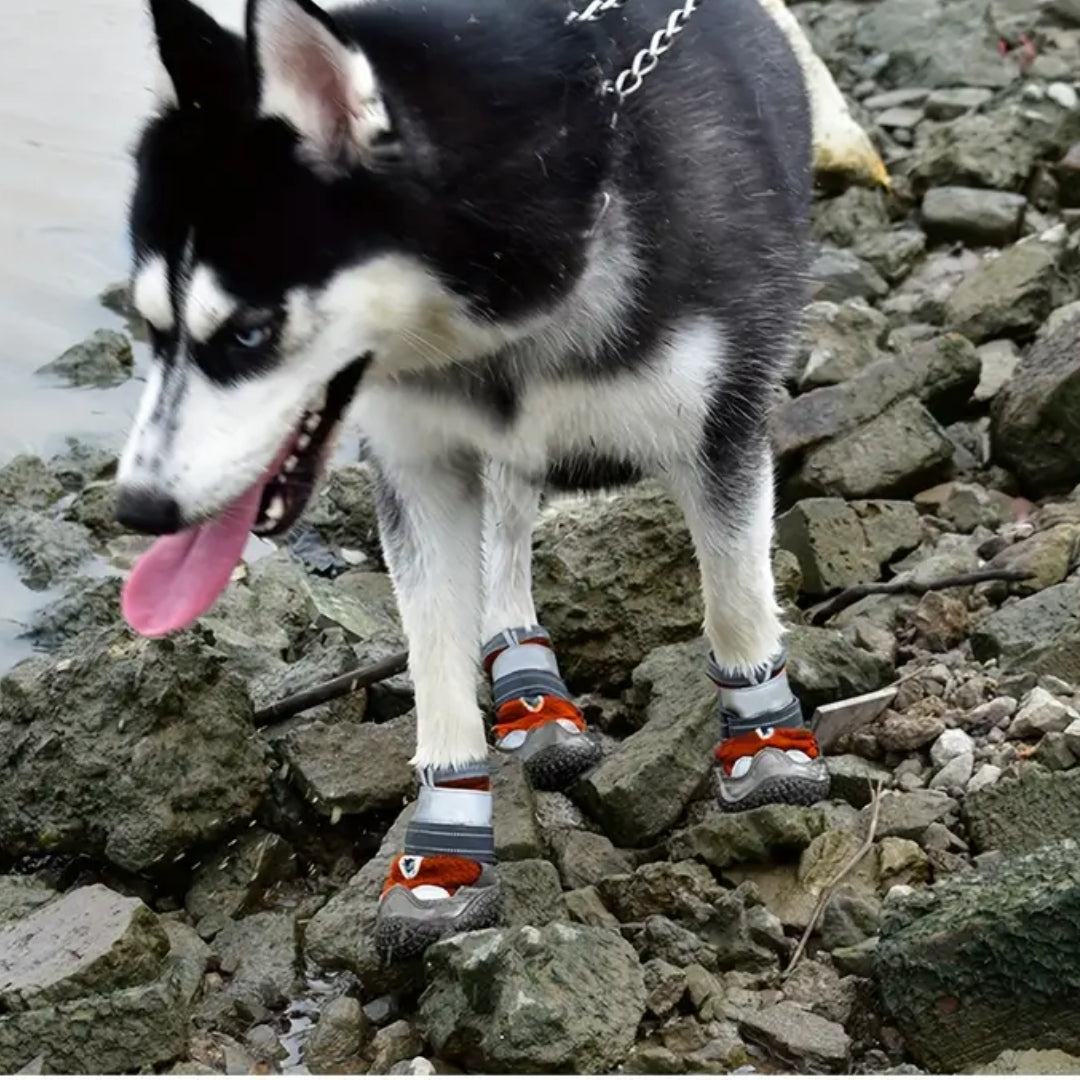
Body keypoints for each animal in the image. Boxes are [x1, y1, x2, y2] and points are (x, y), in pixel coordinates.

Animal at [116, 0, 825, 954]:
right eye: (149, 326)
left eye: (249, 333)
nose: (136, 506)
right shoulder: (419, 465)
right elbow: (437, 652)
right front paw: (447, 840)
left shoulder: (724, 426)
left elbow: (737, 599)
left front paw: (766, 741)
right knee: (508, 532)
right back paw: (525, 675)